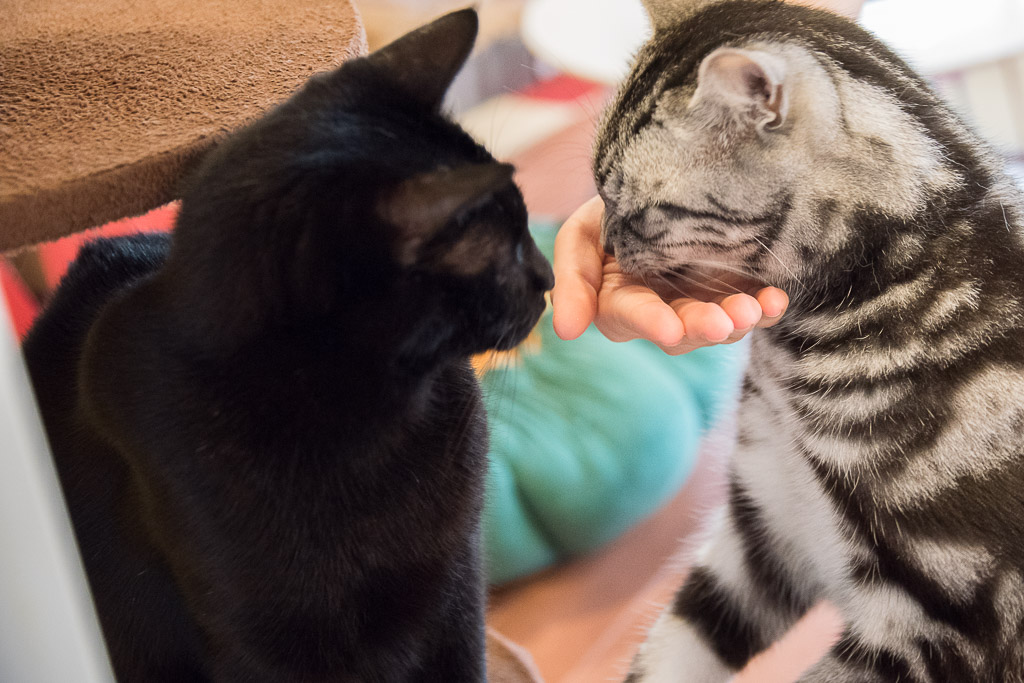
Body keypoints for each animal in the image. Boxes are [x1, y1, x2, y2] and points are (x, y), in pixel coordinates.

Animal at [24, 9, 552, 679]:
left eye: (525, 226)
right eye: (507, 249)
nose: (548, 276)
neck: (365, 431)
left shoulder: (457, 586)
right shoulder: (259, 646)